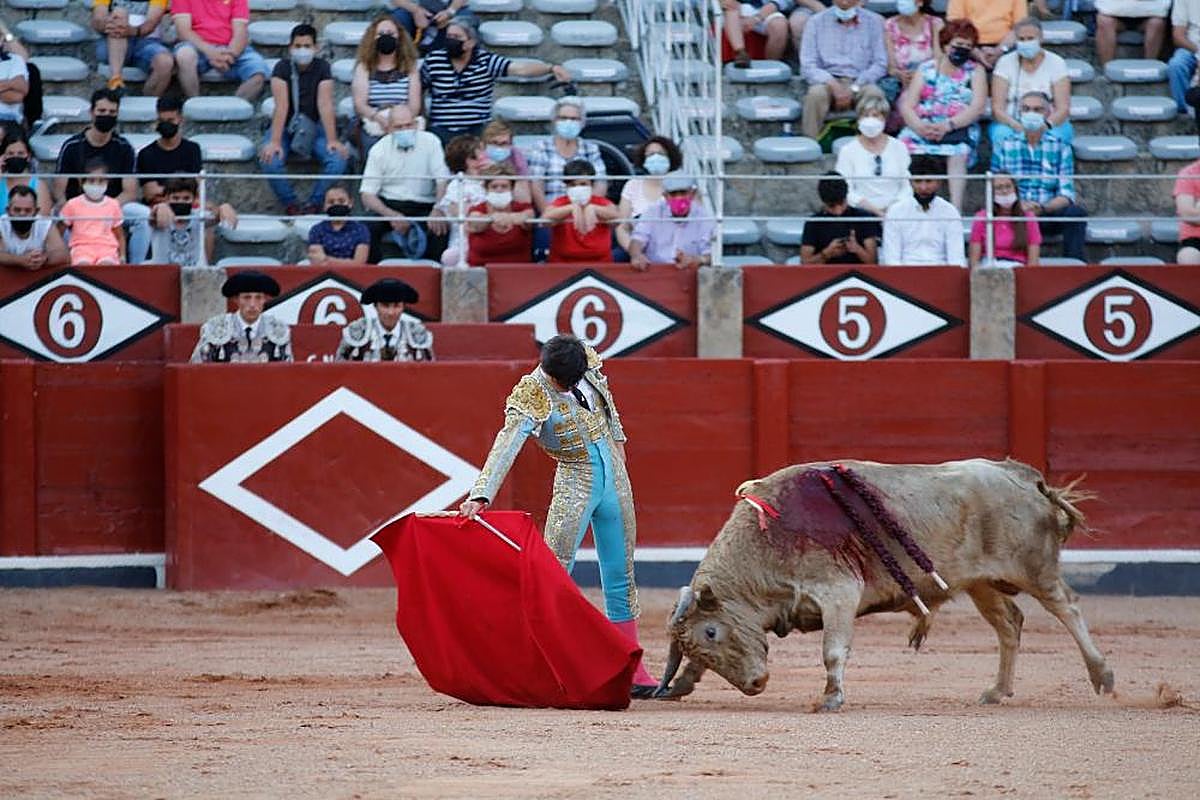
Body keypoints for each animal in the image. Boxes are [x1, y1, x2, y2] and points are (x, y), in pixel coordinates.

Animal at [656, 458, 1115, 711]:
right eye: (700, 646)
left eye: (712, 632)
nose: (755, 685)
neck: (767, 539)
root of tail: (1024, 476)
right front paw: (682, 683)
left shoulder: (839, 593)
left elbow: (833, 650)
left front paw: (830, 698)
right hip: (980, 582)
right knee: (1010, 623)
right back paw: (997, 691)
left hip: (1034, 568)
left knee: (1067, 607)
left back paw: (1102, 676)